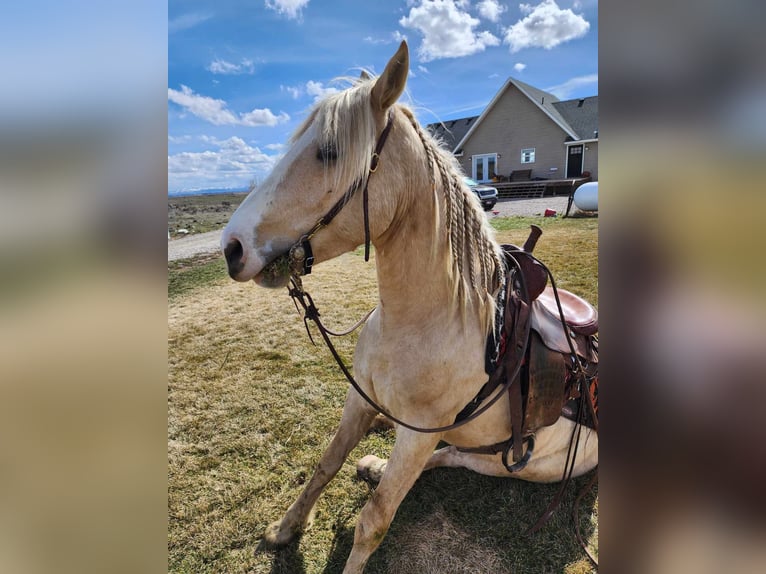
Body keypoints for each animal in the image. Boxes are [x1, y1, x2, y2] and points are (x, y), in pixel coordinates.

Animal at [222, 41, 600, 574]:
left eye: (329, 151)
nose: (231, 247)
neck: (418, 324)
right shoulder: (358, 401)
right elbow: (325, 464)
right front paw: (285, 528)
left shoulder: (419, 435)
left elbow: (375, 519)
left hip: (514, 465)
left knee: (449, 458)